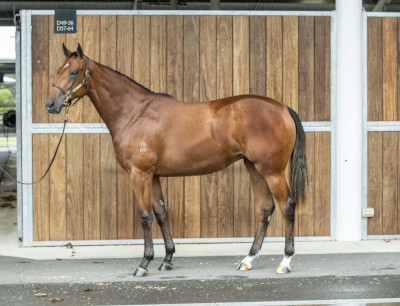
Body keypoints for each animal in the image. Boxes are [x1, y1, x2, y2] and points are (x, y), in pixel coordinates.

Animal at [46, 43, 306, 278]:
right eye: (59, 69)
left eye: (73, 71)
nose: (51, 104)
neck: (135, 113)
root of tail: (283, 108)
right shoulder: (154, 176)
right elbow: (161, 214)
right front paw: (168, 259)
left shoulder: (139, 174)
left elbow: (145, 217)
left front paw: (144, 263)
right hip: (253, 167)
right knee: (265, 208)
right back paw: (248, 259)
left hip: (271, 171)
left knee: (287, 206)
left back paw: (285, 262)